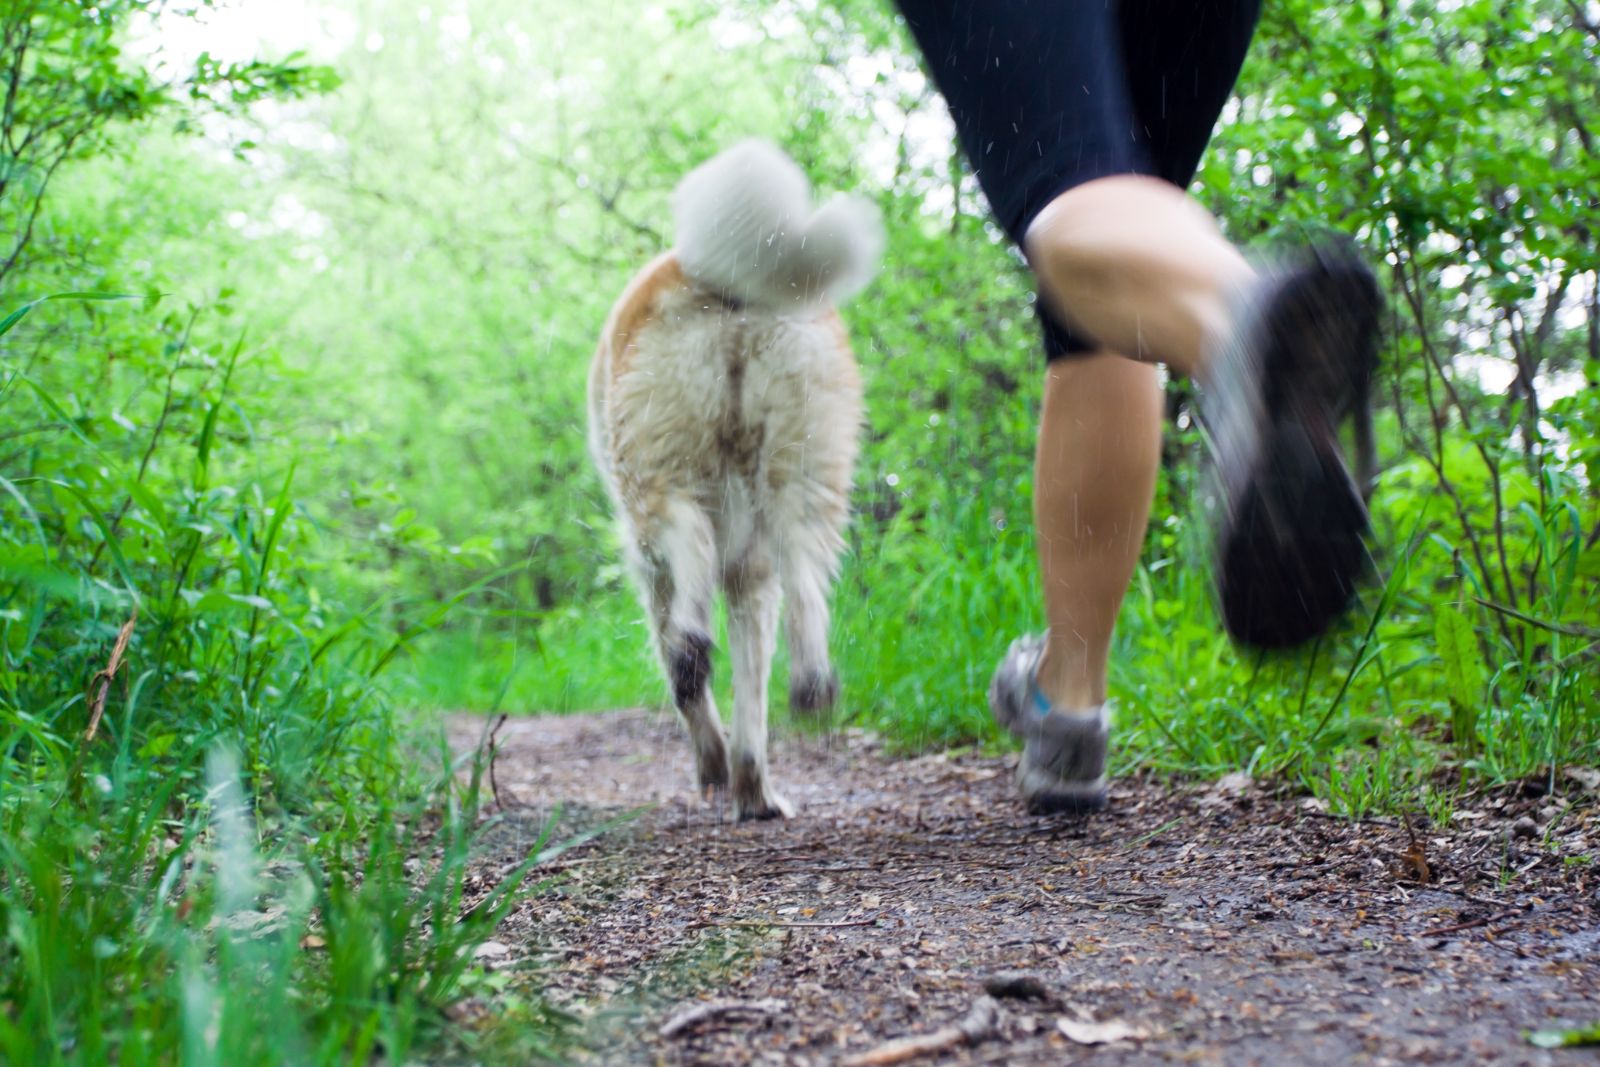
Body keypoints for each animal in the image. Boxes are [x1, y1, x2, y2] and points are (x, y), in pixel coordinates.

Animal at [592, 141, 889, 825]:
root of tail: (729, 280)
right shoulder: (752, 575)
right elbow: (751, 691)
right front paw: (751, 788)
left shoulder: (650, 573)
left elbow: (690, 691)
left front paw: (714, 765)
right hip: (810, 466)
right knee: (804, 581)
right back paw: (812, 685)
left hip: (659, 471)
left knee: (690, 549)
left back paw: (695, 648)